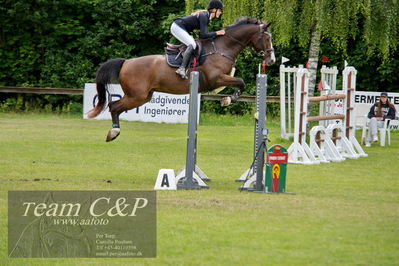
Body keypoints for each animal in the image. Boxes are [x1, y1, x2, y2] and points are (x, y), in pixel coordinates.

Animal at [87, 16, 276, 141]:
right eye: (267, 38)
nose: (272, 60)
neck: (223, 47)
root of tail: (126, 62)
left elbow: (239, 83)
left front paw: (226, 99)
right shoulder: (216, 79)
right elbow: (241, 83)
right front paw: (227, 100)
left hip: (144, 96)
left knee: (116, 107)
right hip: (136, 96)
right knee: (114, 106)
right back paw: (114, 132)